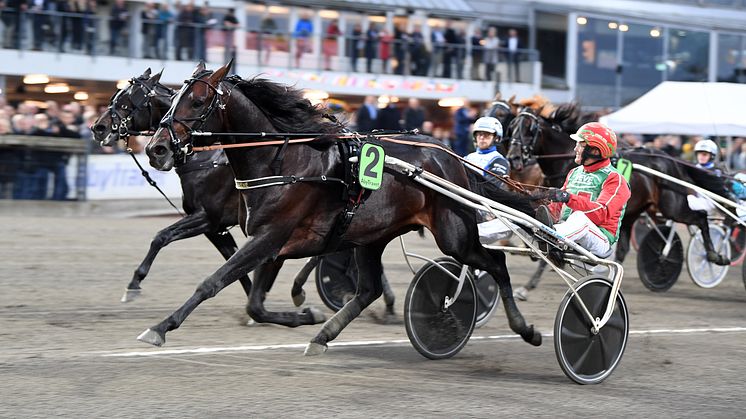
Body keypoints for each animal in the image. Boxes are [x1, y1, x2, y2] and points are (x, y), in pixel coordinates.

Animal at [142, 60, 544, 352]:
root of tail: (450, 156)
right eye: (172, 99)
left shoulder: (270, 237)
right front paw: (306, 315)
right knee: (368, 290)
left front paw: (160, 327)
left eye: (196, 102)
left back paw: (526, 329)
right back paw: (323, 336)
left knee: (497, 264)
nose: (156, 149)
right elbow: (254, 302)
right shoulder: (270, 243)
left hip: (454, 234)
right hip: (371, 237)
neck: (281, 161)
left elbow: (212, 282)